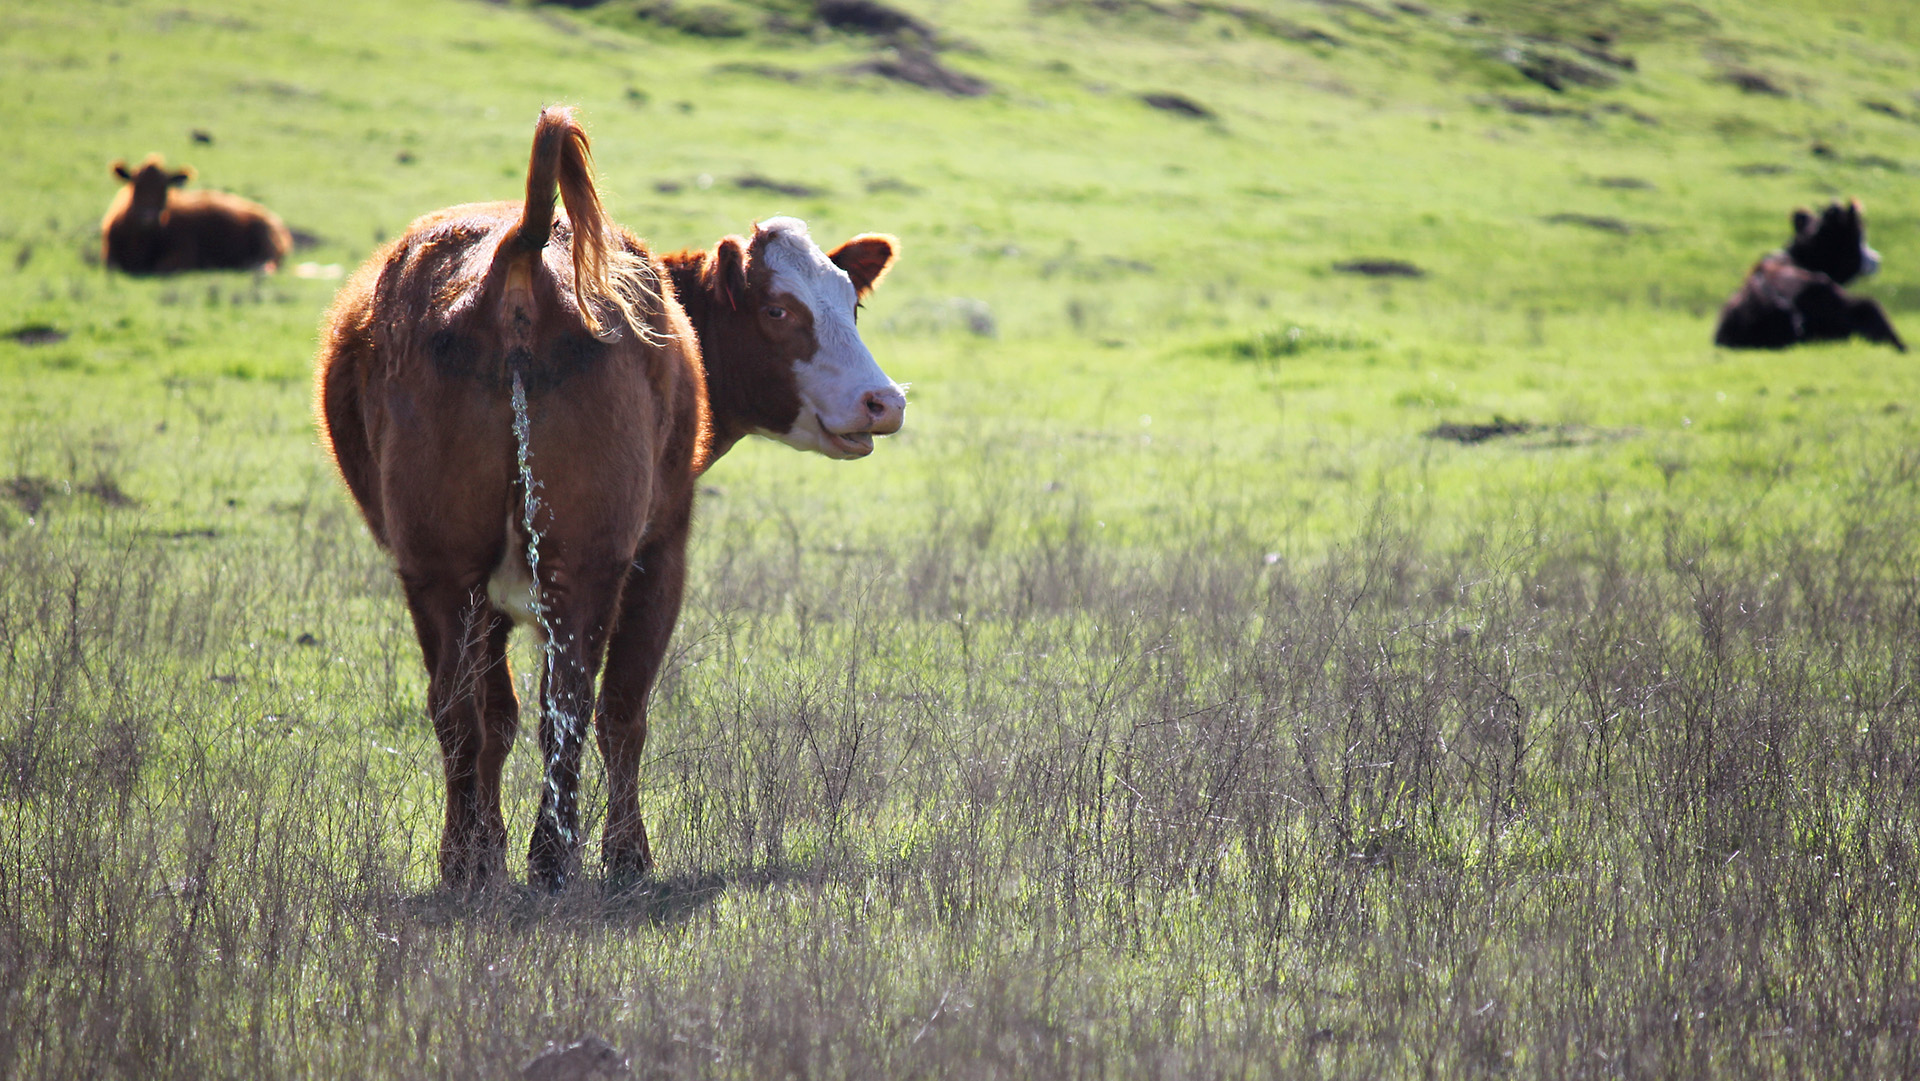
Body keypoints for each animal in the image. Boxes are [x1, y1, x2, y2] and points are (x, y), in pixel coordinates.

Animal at [316, 106, 903, 892]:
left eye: (852, 302)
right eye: (780, 310)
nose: (883, 401)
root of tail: (520, 251)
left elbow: (495, 717)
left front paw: (490, 846)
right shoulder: (661, 549)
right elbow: (624, 708)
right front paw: (627, 854)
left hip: (439, 564)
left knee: (461, 710)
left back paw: (466, 861)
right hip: (584, 558)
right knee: (569, 705)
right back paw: (553, 856)